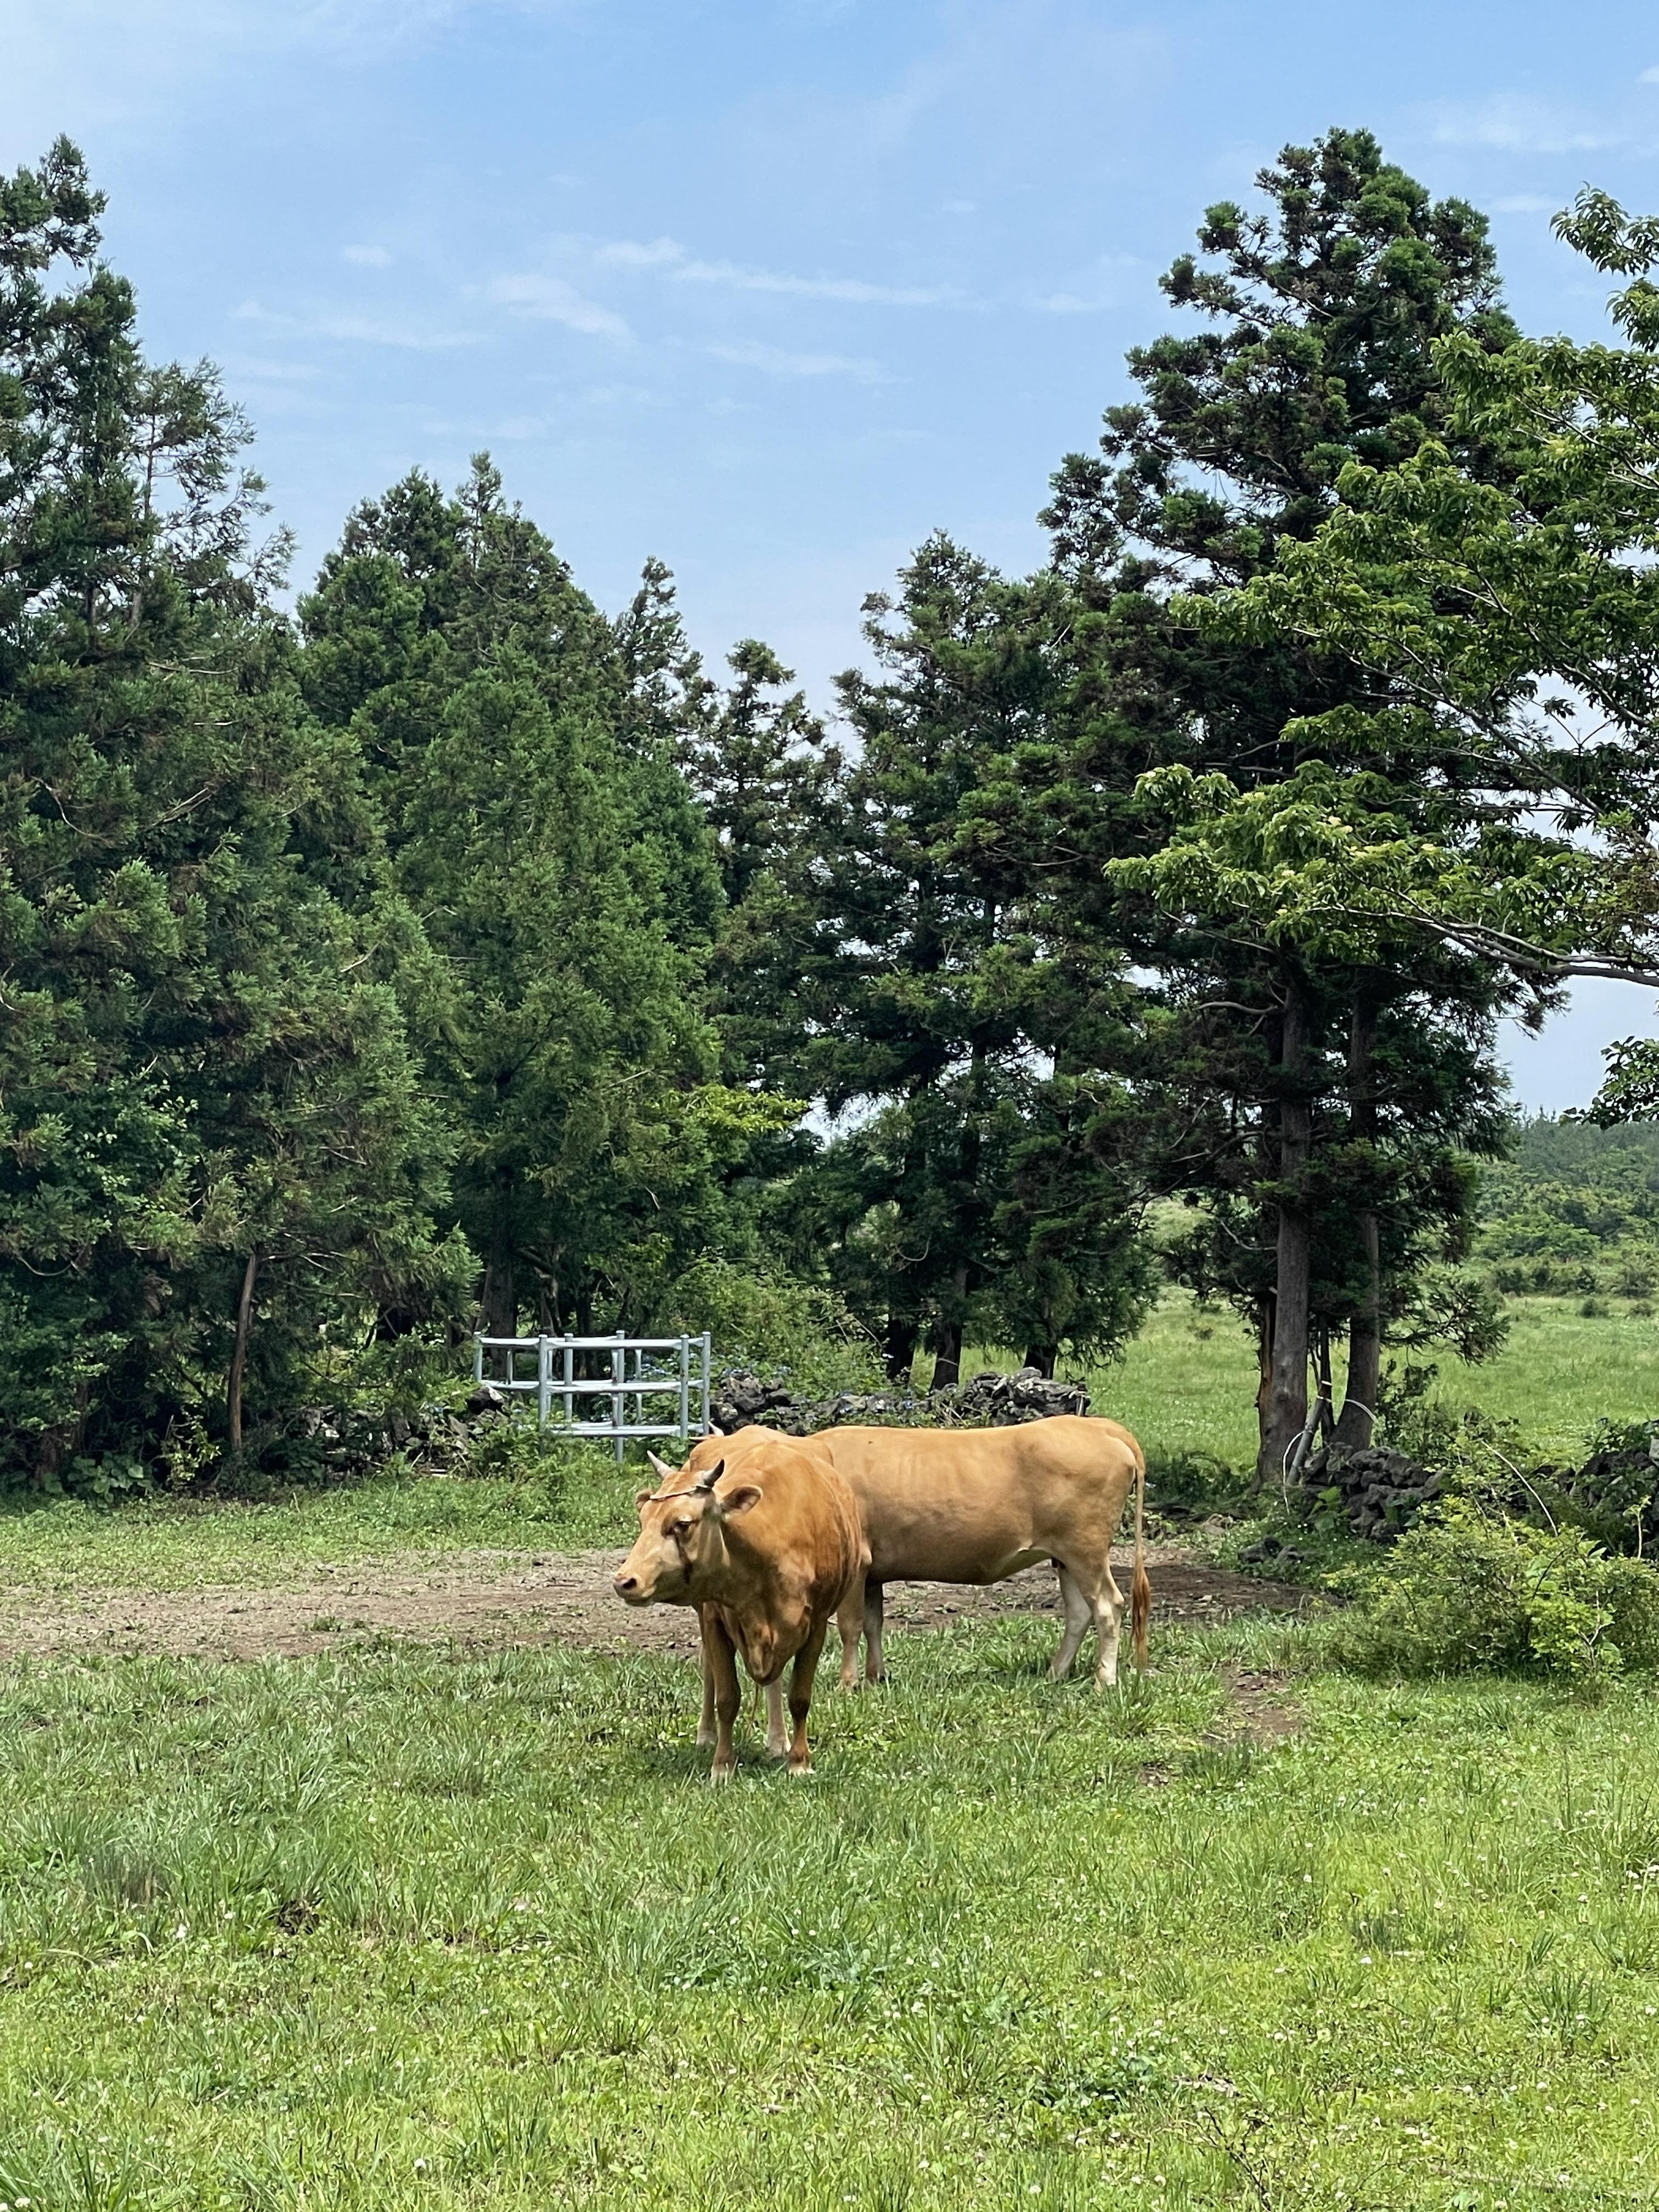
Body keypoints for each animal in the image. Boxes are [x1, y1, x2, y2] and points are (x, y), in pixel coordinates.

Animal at [610, 1433, 871, 1778]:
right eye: (644, 1520)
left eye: (682, 1524)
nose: (625, 1581)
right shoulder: (715, 1619)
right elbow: (727, 1698)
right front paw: (722, 1765)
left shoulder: (815, 1623)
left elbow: (800, 1696)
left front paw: (799, 1761)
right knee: (710, 1670)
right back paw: (707, 1735)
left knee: (774, 1682)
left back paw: (778, 1741)